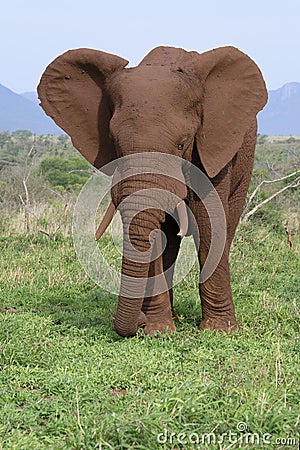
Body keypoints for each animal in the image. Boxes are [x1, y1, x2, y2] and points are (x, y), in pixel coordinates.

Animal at [37, 45, 268, 338]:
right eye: (115, 143)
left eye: (182, 144)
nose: (139, 321)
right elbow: (157, 235)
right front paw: (158, 331)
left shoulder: (213, 153)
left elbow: (210, 227)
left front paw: (220, 332)